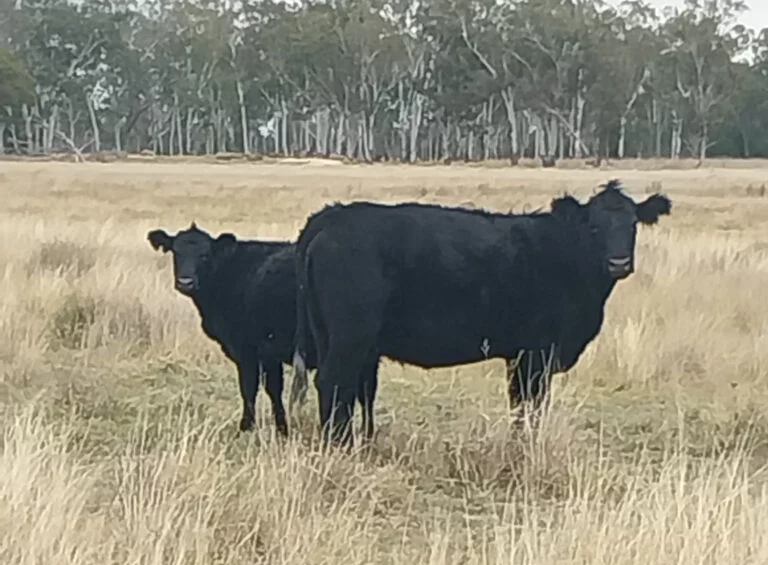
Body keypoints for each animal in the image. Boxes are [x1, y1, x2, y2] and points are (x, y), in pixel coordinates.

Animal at [292, 178, 668, 442]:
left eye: (632, 224)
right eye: (593, 227)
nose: (618, 262)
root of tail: (332, 216)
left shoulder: (519, 355)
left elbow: (519, 402)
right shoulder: (538, 353)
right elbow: (532, 403)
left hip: (329, 334)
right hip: (350, 336)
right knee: (333, 383)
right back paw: (337, 443)